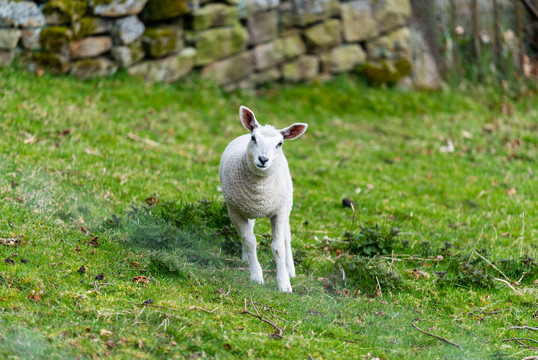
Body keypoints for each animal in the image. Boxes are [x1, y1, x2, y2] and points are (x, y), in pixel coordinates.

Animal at [218, 105, 306, 292]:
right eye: (254, 138)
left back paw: (290, 269)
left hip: (287, 202)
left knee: (286, 237)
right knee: (249, 229)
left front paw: (284, 284)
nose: (263, 159)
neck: (259, 193)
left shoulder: (279, 211)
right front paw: (257, 276)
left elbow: (279, 247)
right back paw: (246, 258)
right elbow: (250, 241)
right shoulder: (234, 210)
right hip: (244, 207)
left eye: (280, 144)